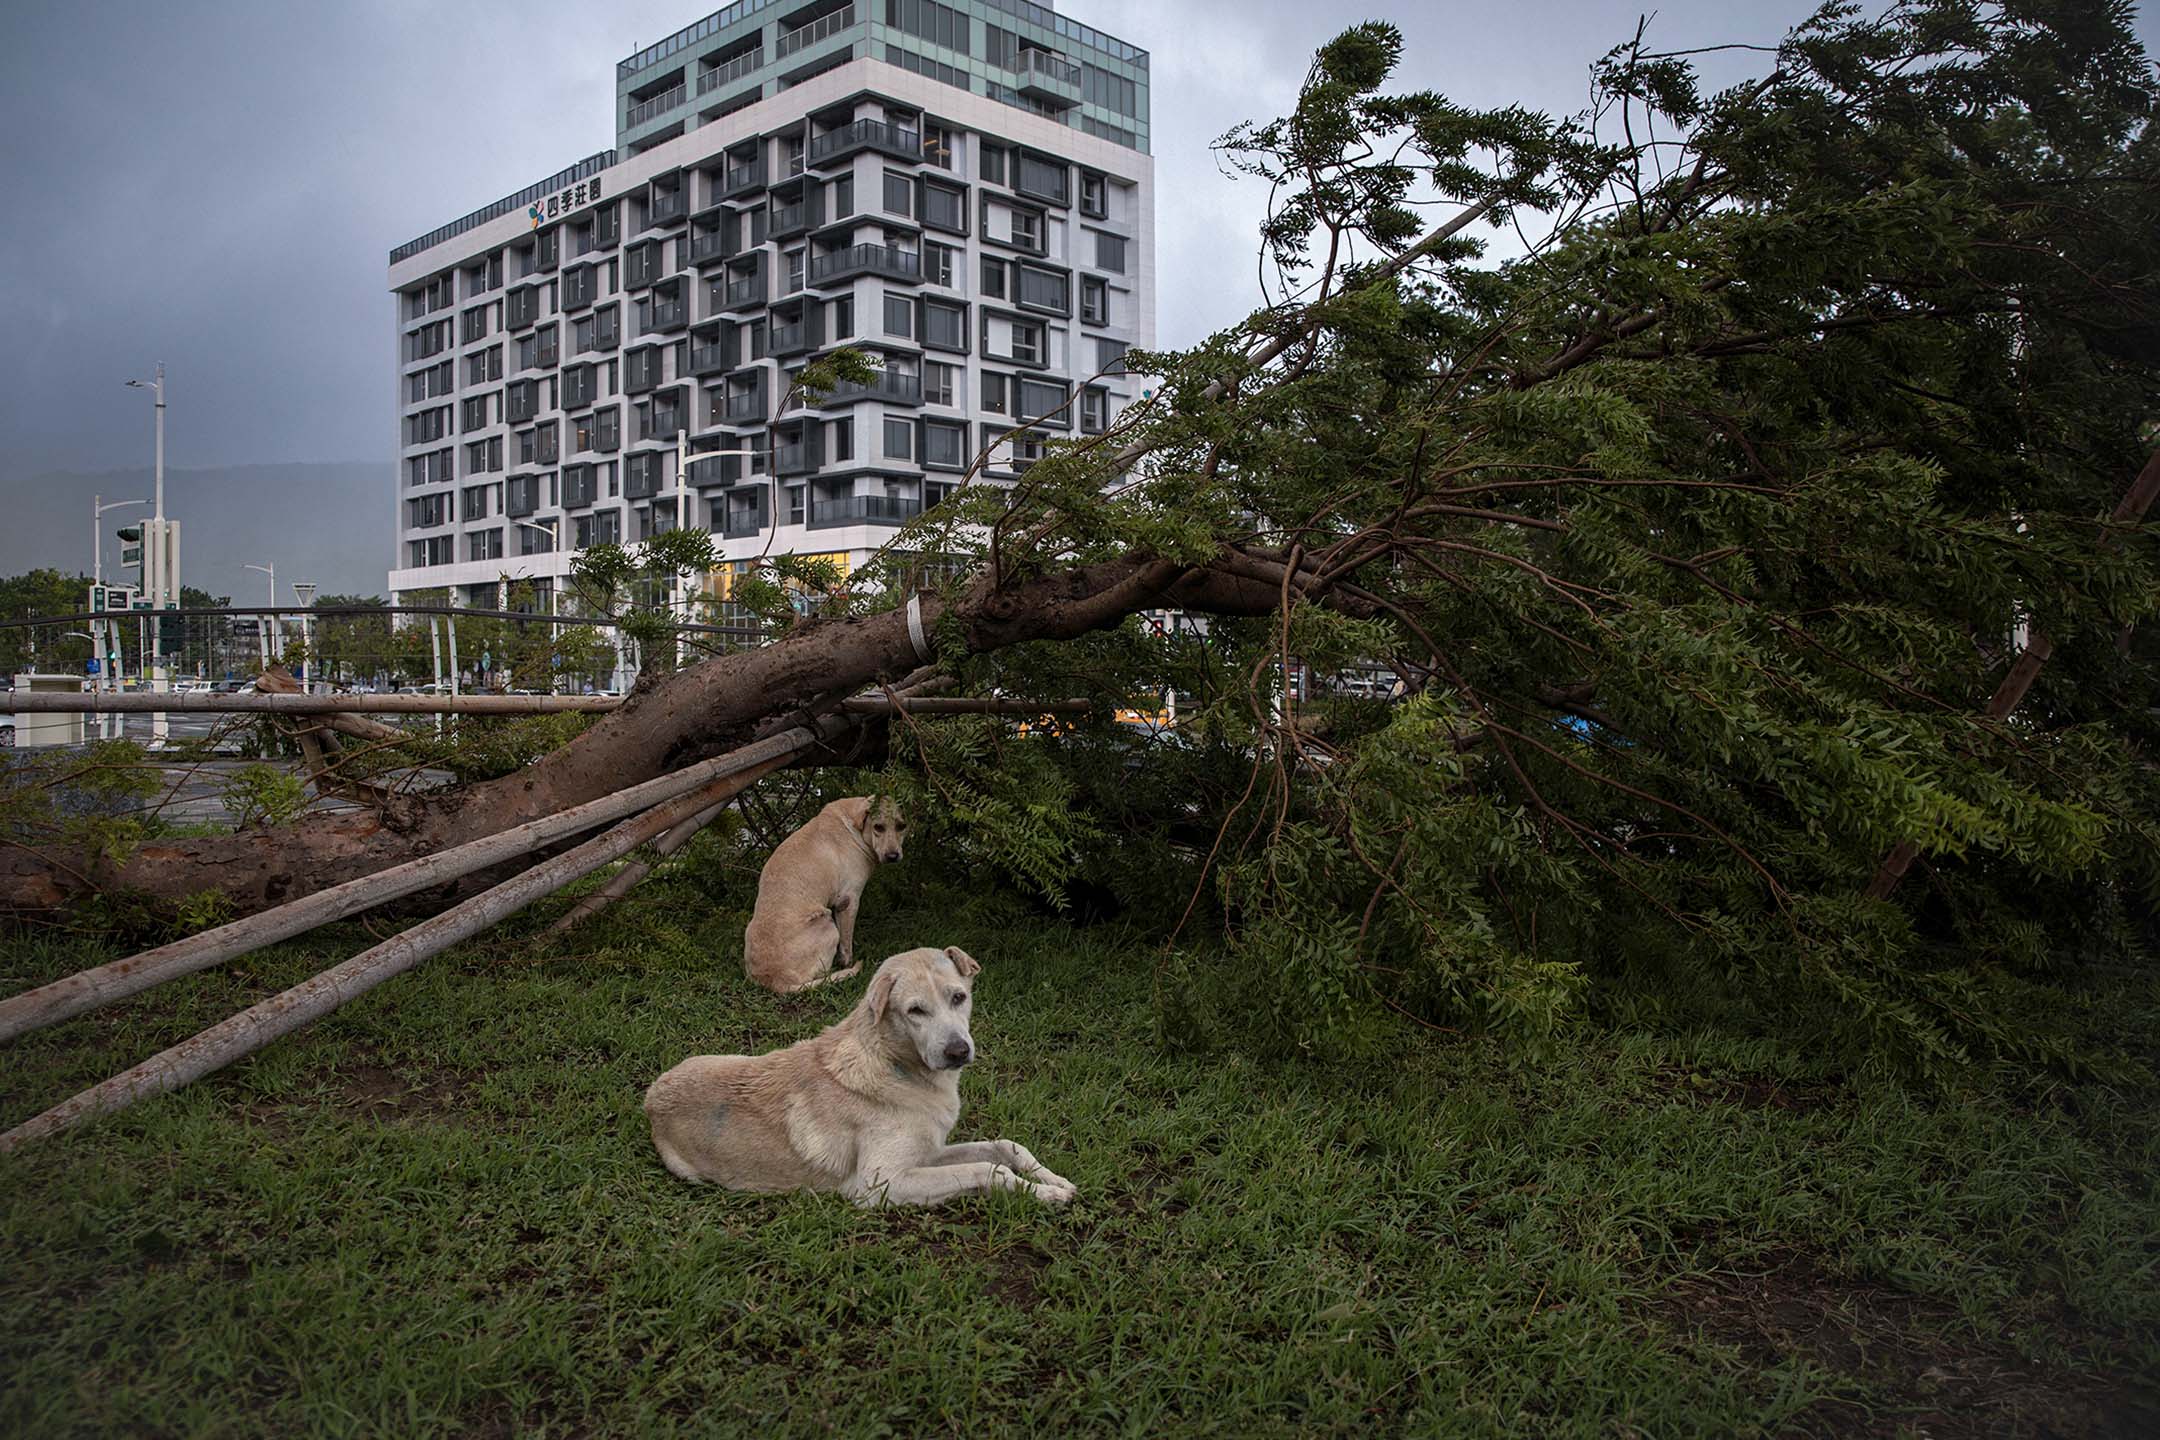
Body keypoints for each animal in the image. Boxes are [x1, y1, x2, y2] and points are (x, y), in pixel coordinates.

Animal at [639, 945, 1080, 1208]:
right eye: (915, 1011)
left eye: (959, 997)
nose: (958, 1051)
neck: (896, 1066)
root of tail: (650, 1101)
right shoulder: (879, 1184)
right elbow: (989, 1170)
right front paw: (1044, 1193)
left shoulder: (927, 1153)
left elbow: (1005, 1147)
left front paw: (1053, 1179)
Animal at [747, 798, 907, 993]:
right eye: (879, 827)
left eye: (901, 826)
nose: (893, 856)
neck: (854, 825)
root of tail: (776, 981)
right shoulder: (848, 901)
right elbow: (846, 946)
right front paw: (847, 964)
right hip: (828, 924)